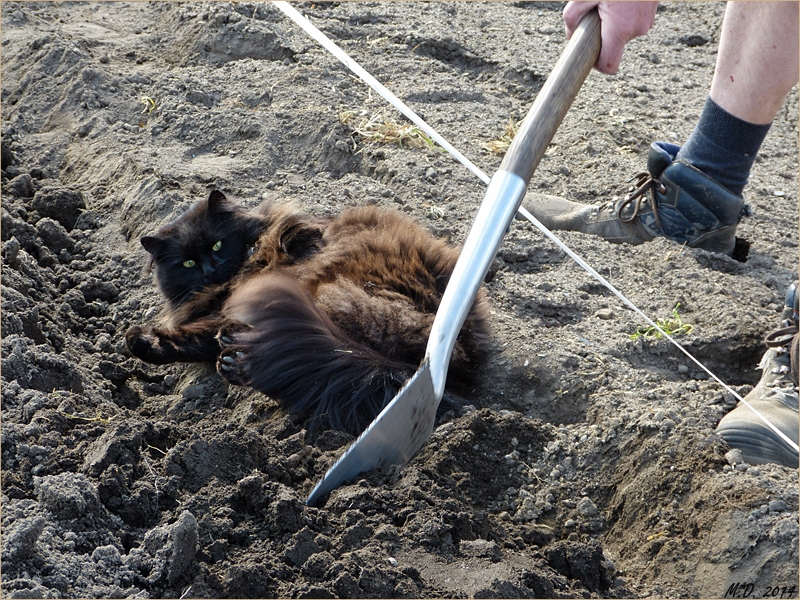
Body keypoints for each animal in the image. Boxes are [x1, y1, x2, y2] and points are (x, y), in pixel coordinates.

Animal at [126, 190, 490, 434]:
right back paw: (235, 357)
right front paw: (142, 342)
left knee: (313, 361)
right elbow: (187, 338)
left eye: (217, 244)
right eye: (187, 263)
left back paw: (239, 357)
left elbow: (294, 231)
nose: (209, 268)